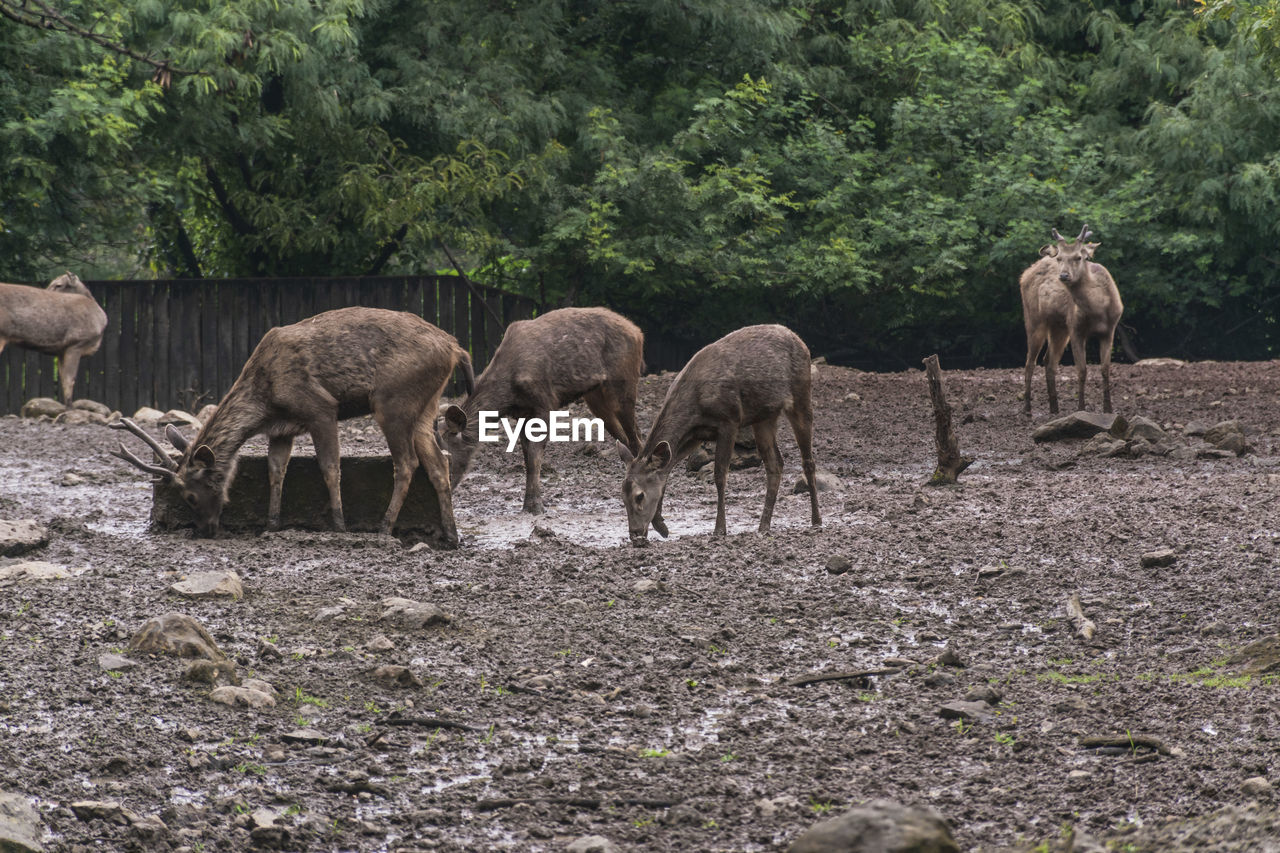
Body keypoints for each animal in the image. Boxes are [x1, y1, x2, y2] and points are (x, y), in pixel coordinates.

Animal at [0, 274, 106, 404]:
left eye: (59, 285)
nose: (46, 291)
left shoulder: (61, 351)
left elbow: (63, 381)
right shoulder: (77, 343)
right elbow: (69, 382)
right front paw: (69, 407)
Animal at [112, 307, 473, 545]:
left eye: (189, 495)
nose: (204, 531)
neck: (265, 403)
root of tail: (457, 348)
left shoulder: (320, 407)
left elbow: (329, 466)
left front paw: (339, 525)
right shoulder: (282, 430)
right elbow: (275, 470)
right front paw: (272, 524)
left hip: (392, 400)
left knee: (407, 462)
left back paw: (384, 528)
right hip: (426, 405)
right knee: (437, 462)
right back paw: (452, 535)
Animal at [440, 306, 645, 512]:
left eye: (448, 458)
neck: (509, 394)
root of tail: (638, 332)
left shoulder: (545, 403)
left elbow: (534, 456)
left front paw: (536, 505)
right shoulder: (521, 414)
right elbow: (526, 456)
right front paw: (528, 503)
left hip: (623, 383)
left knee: (636, 438)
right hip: (595, 398)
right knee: (624, 438)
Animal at [616, 322, 819, 548]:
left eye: (639, 496)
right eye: (622, 497)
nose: (635, 535)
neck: (695, 405)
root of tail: (800, 341)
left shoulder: (729, 420)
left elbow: (720, 474)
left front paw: (719, 529)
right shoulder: (695, 435)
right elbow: (666, 471)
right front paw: (661, 526)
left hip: (801, 395)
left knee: (808, 461)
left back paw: (816, 520)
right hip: (764, 417)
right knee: (775, 463)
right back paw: (764, 526)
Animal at [1018, 224, 1121, 412]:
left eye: (1079, 257)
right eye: (1059, 258)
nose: (1064, 275)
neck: (1098, 311)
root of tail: (1025, 273)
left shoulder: (1110, 330)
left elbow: (1105, 369)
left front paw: (1108, 409)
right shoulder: (1075, 329)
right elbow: (1082, 370)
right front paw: (1081, 408)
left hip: (1059, 327)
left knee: (1049, 362)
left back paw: (1054, 408)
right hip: (1034, 319)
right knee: (1030, 362)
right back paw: (1028, 408)